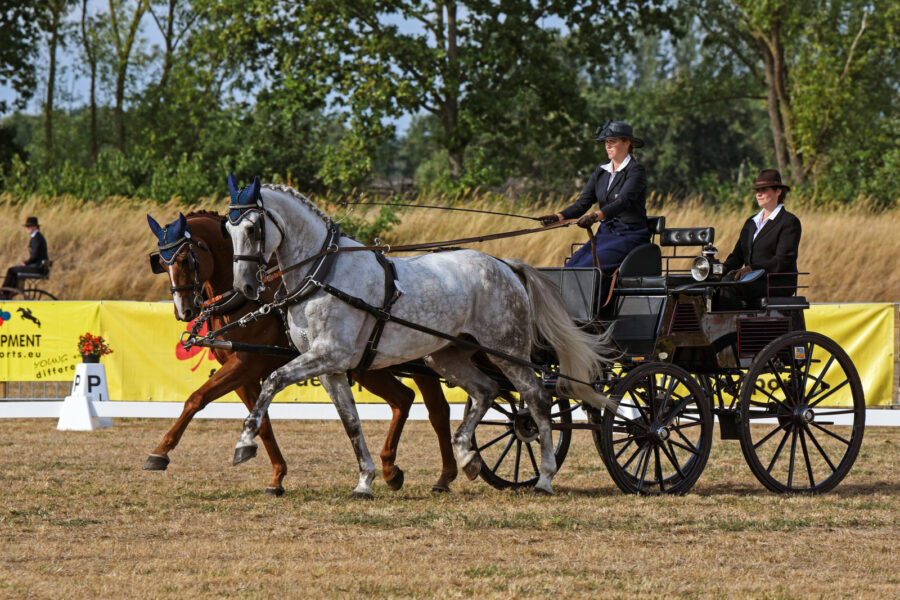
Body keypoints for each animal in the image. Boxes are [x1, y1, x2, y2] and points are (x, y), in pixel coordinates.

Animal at [146, 213, 458, 494]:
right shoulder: (244, 374)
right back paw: (395, 470)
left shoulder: (245, 364)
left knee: (435, 410)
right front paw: (275, 476)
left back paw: (441, 476)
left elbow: (197, 398)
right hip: (369, 366)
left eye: (186, 260)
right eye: (162, 262)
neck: (246, 301)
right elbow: (262, 422)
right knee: (404, 400)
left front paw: (160, 452)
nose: (184, 311)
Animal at [229, 178, 616, 496]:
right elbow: (351, 422)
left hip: (506, 350)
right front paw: (365, 481)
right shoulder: (330, 368)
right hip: (446, 355)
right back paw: (468, 457)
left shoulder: (328, 355)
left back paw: (545, 477)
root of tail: (505, 265)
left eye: (252, 227)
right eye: (228, 229)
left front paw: (244, 444)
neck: (323, 274)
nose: (245, 287)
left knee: (535, 400)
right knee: (486, 390)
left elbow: (273, 380)